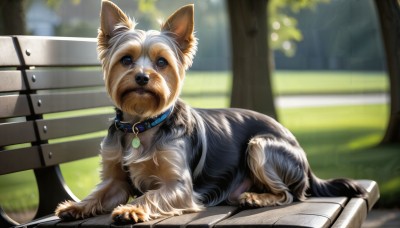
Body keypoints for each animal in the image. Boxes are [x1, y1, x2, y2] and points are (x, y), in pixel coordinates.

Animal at [54, 0, 368, 224]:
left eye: (161, 62)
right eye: (126, 59)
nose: (142, 78)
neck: (142, 123)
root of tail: (304, 157)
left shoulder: (179, 186)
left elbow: (152, 194)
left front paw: (130, 210)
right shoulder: (115, 179)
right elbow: (102, 191)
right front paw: (76, 205)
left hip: (261, 145)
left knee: (289, 194)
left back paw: (256, 198)